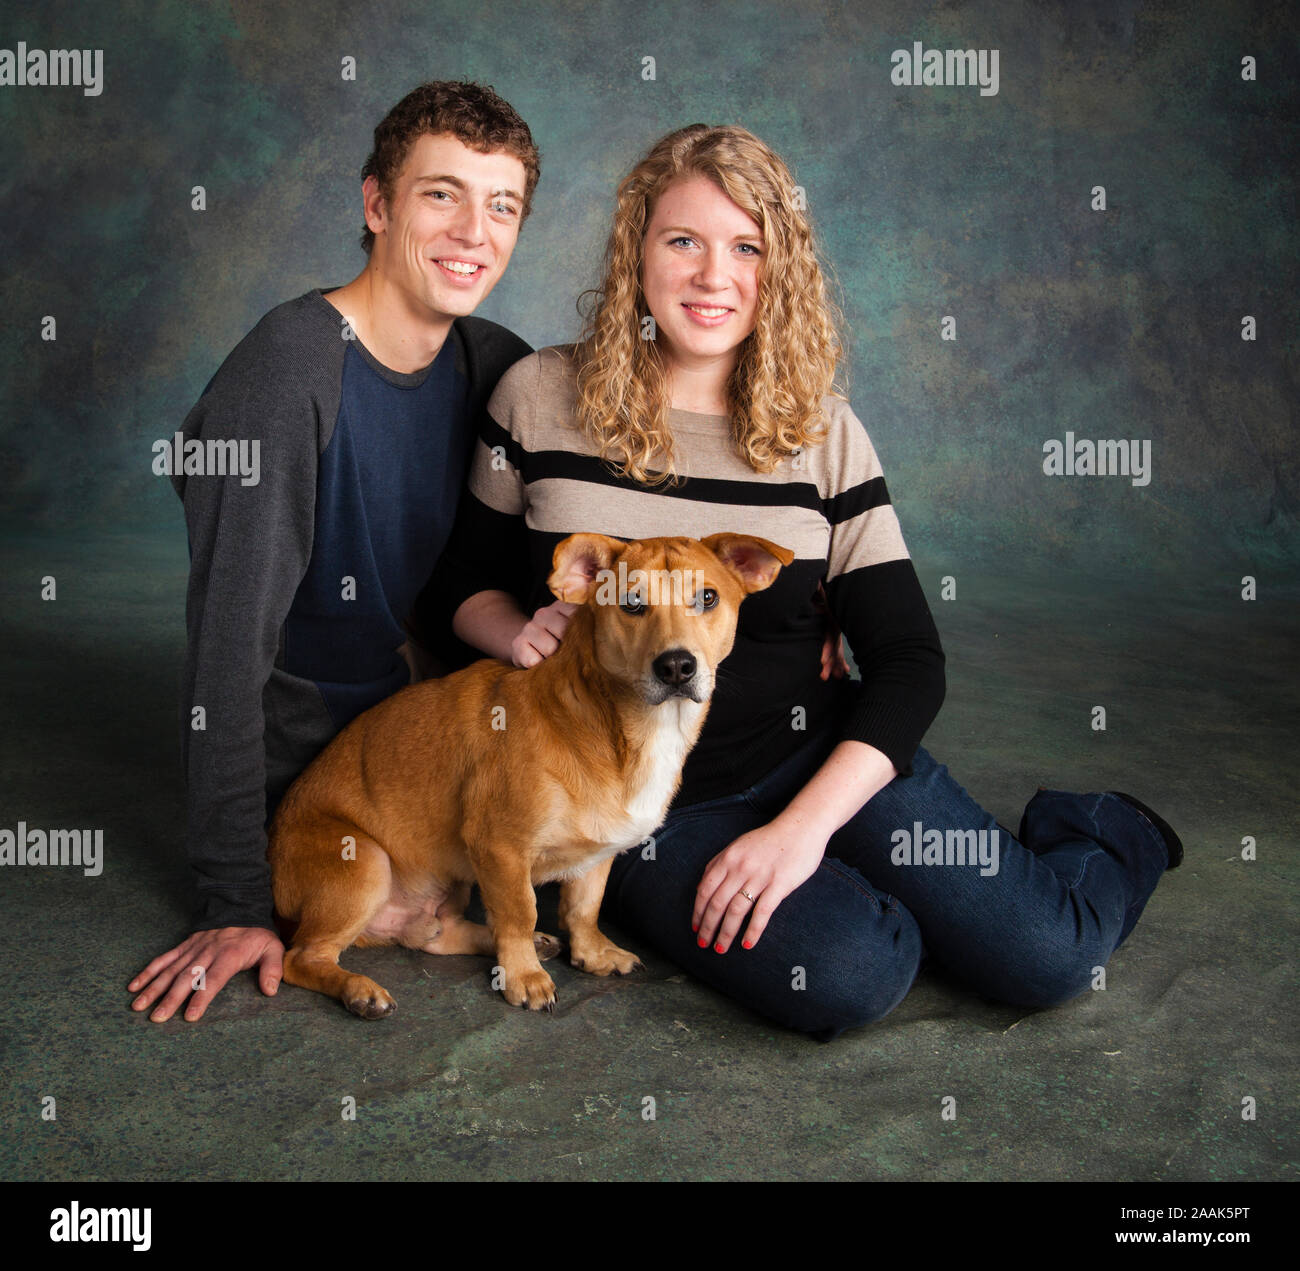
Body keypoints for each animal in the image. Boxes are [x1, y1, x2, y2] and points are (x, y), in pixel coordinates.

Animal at [269, 530, 785, 1013]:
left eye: (708, 598)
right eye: (632, 604)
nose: (677, 666)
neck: (620, 729)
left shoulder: (597, 854)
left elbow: (583, 908)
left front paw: (590, 953)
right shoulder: (499, 848)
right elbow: (521, 912)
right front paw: (524, 976)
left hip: (448, 884)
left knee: (435, 934)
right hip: (366, 863)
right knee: (301, 957)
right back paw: (360, 990)